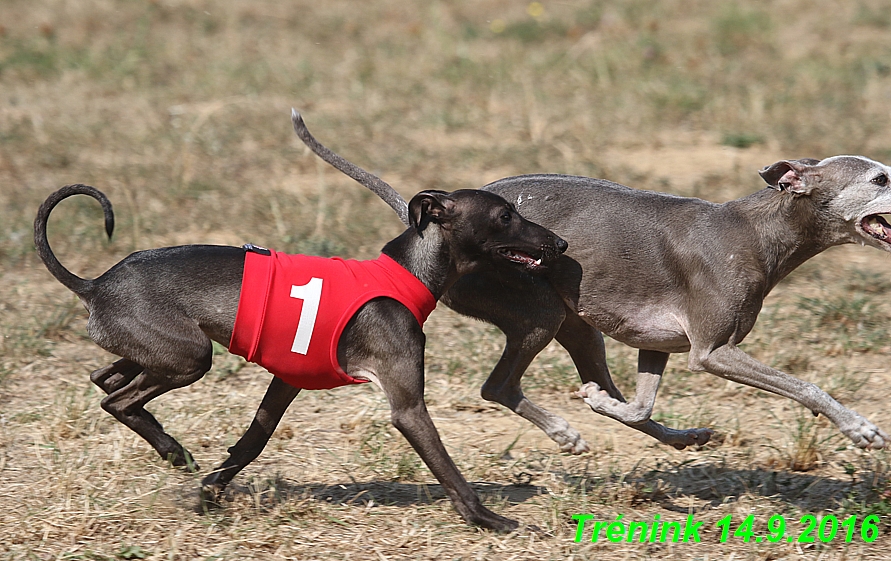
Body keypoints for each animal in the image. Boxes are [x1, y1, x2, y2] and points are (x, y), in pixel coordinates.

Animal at [34, 178, 568, 528]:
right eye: (505, 216)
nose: (560, 243)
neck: (407, 274)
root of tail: (95, 284)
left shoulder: (286, 381)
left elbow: (250, 444)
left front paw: (209, 496)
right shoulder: (407, 407)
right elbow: (449, 470)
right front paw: (488, 519)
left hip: (159, 350)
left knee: (106, 380)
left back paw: (169, 446)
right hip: (190, 357)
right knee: (116, 398)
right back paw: (171, 448)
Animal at [294, 111, 891, 452]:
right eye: (880, 177)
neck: (756, 231)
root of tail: (422, 223)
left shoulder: (660, 346)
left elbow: (639, 406)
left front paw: (605, 404)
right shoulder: (712, 352)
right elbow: (805, 386)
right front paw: (860, 429)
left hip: (579, 325)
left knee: (614, 399)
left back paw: (672, 434)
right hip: (539, 311)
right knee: (498, 387)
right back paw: (565, 432)